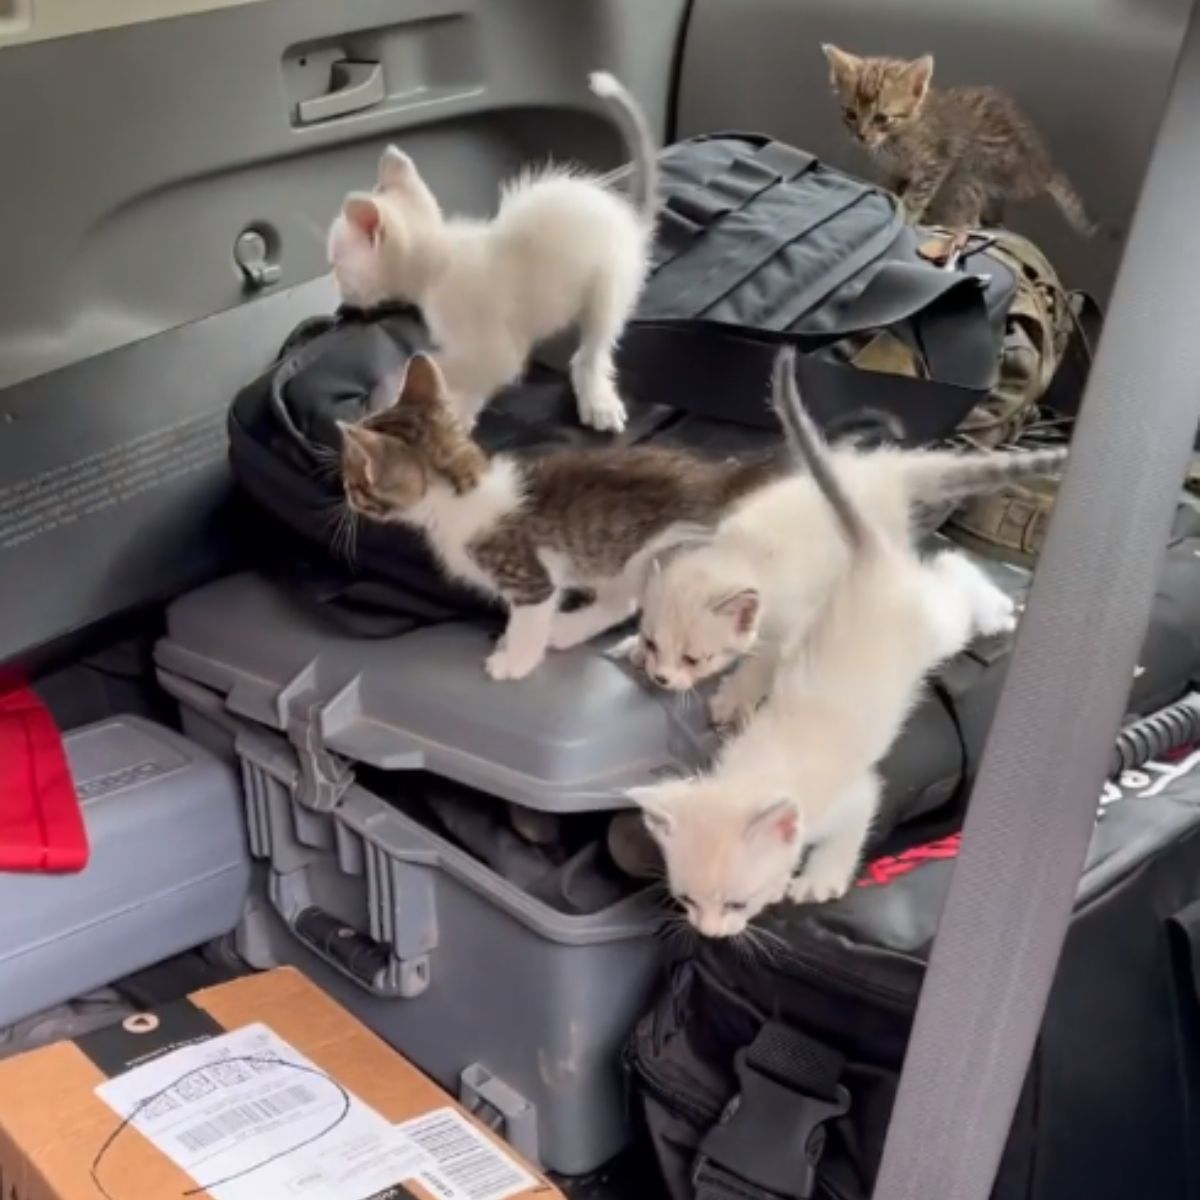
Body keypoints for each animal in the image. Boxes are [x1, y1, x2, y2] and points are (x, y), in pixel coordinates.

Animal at [326, 71, 657, 436]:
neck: (439, 263)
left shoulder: (494, 348)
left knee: (593, 350)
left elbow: (449, 366)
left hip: (608, 283)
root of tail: (629, 222)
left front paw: (400, 393)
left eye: (336, 265)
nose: (338, 291)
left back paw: (597, 399)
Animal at [340, 350, 787, 681]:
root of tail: (720, 479)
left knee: (625, 603)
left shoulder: (530, 577)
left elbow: (530, 619)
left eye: (354, 480)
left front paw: (515, 661)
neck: (464, 491)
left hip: (649, 554)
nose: (344, 493)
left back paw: (566, 630)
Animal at [624, 350, 1017, 940]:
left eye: (738, 903)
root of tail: (872, 559)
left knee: (954, 571)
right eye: (688, 900)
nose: (710, 934)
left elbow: (852, 821)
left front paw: (819, 879)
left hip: (933, 621)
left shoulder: (854, 794)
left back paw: (996, 610)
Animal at [633, 350, 1065, 724]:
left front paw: (732, 699)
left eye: (693, 659)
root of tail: (887, 468)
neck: (740, 552)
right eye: (653, 642)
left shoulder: (787, 625)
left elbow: (762, 663)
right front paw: (632, 650)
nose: (660, 678)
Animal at [825, 43, 1099, 234]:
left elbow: (915, 197)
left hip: (980, 165)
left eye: (882, 118)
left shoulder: (937, 162)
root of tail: (1043, 169)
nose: (861, 135)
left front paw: (905, 218)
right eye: (850, 114)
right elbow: (889, 183)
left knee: (970, 210)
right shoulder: (895, 168)